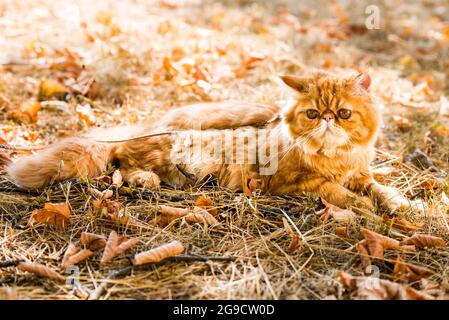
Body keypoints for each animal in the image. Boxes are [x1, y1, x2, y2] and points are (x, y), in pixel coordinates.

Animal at [5, 73, 412, 212]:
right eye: (313, 113)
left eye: (343, 113)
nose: (327, 119)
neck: (334, 157)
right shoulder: (296, 184)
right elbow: (338, 193)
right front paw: (365, 207)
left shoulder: (359, 173)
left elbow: (382, 189)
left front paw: (406, 205)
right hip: (181, 151)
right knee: (123, 162)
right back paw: (145, 181)